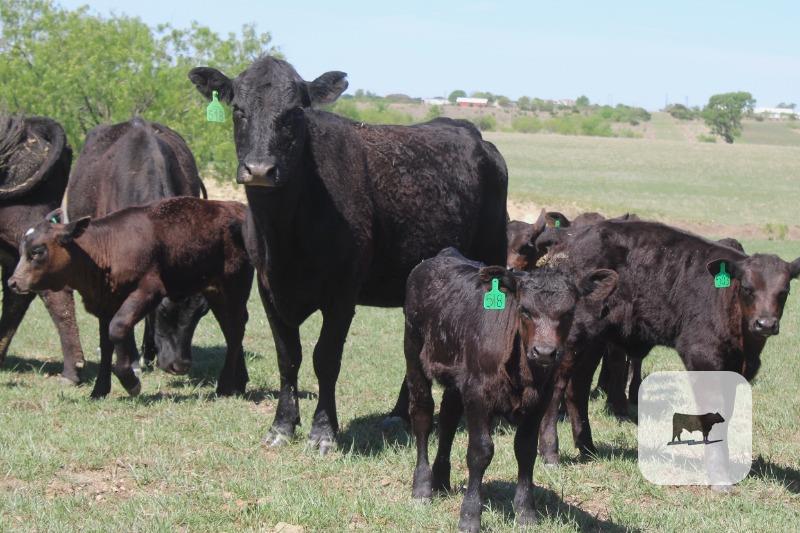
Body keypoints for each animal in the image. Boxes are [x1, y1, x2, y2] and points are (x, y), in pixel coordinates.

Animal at [8, 197, 253, 399]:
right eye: (21, 251)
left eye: (38, 251)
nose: (13, 282)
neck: (107, 250)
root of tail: (237, 207)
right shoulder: (106, 303)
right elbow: (106, 344)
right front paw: (99, 390)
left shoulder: (148, 290)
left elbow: (117, 329)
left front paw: (130, 382)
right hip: (217, 293)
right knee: (231, 329)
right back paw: (239, 382)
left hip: (235, 286)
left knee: (235, 330)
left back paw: (224, 386)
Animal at [189, 56, 509, 453]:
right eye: (238, 110)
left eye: (294, 113)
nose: (260, 169)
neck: (285, 235)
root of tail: (477, 137)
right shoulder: (268, 289)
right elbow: (288, 358)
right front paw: (282, 426)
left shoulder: (342, 293)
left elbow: (325, 358)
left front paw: (323, 432)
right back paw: (399, 414)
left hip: (491, 256)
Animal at [404, 248, 617, 532]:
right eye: (524, 310)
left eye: (569, 312)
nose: (544, 352)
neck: (524, 375)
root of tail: (442, 255)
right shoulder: (478, 394)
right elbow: (480, 451)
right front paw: (470, 516)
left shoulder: (539, 400)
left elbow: (525, 450)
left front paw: (526, 512)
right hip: (413, 350)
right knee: (423, 415)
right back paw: (422, 488)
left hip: (457, 376)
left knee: (448, 419)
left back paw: (441, 481)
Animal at [533, 220, 800, 464]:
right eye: (747, 287)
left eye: (784, 291)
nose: (765, 324)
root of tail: (569, 239)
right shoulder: (702, 356)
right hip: (570, 339)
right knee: (557, 387)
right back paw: (550, 452)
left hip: (594, 340)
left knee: (577, 387)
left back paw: (588, 447)